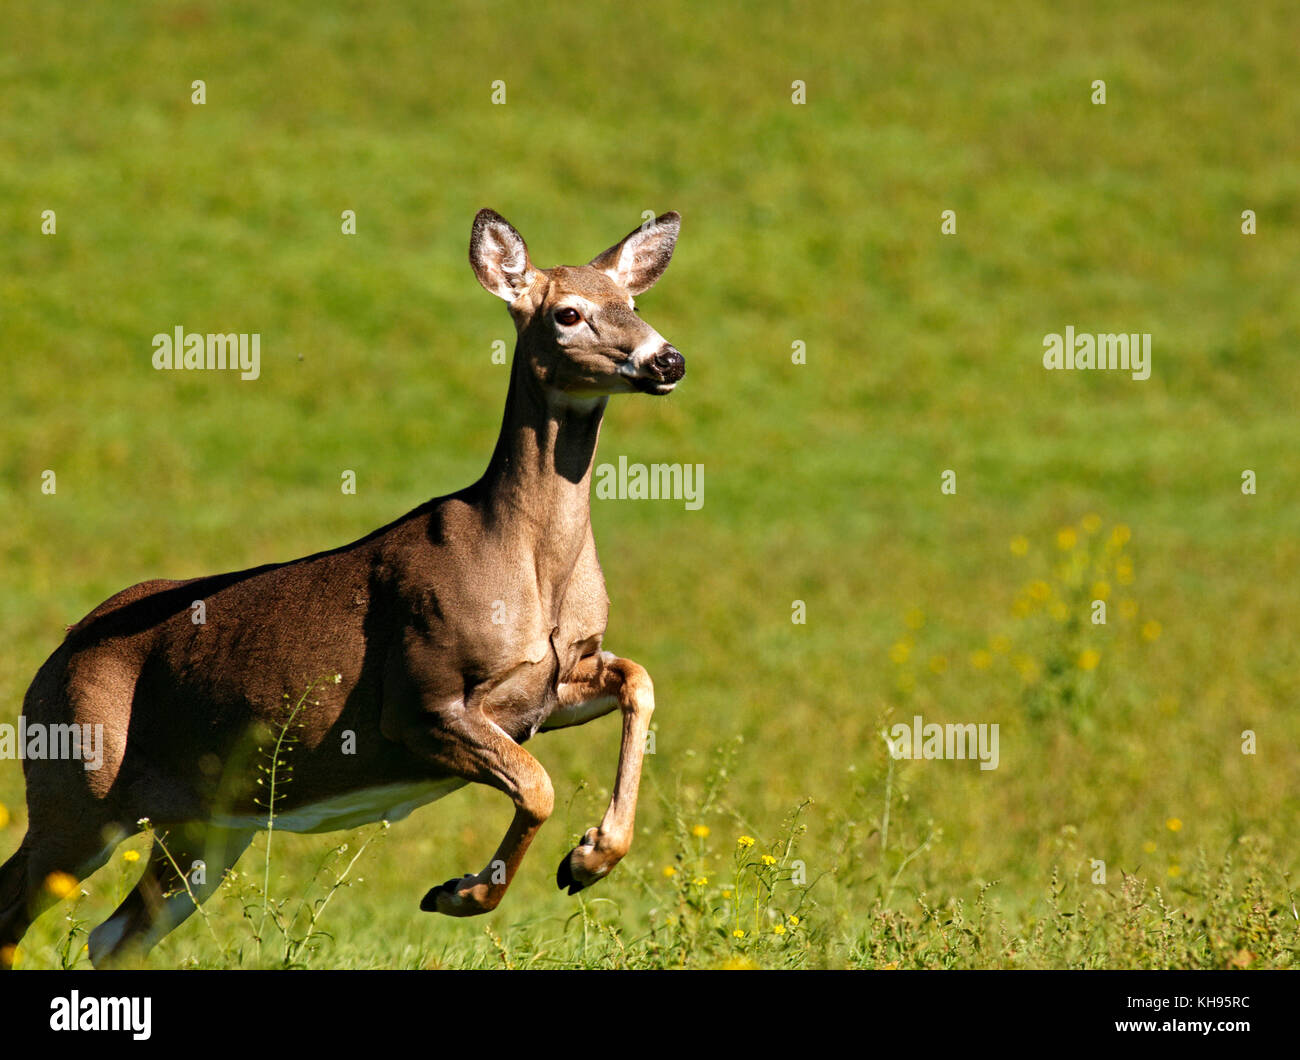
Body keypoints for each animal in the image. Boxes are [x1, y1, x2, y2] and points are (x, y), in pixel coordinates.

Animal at [0, 209, 686, 967]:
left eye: (633, 304)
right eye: (567, 312)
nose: (666, 360)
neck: (529, 566)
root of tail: (51, 660)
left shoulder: (553, 685)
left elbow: (638, 679)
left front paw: (588, 859)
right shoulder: (421, 696)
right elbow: (536, 785)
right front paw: (463, 893)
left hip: (206, 823)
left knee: (115, 933)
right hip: (78, 783)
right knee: (16, 902)